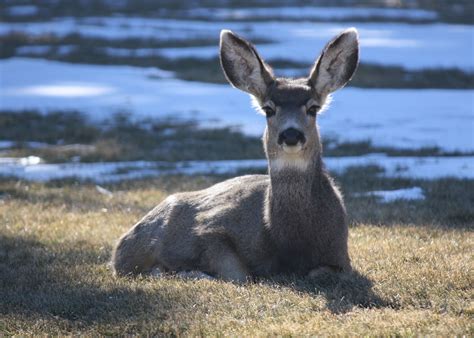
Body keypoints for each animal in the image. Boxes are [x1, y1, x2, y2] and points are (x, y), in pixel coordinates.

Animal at [112, 27, 360, 282]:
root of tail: (121, 243)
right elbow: (240, 274)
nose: (291, 134)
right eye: (268, 109)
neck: (291, 244)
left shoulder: (342, 258)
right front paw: (191, 271)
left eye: (313, 108)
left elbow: (326, 272)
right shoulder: (209, 230)